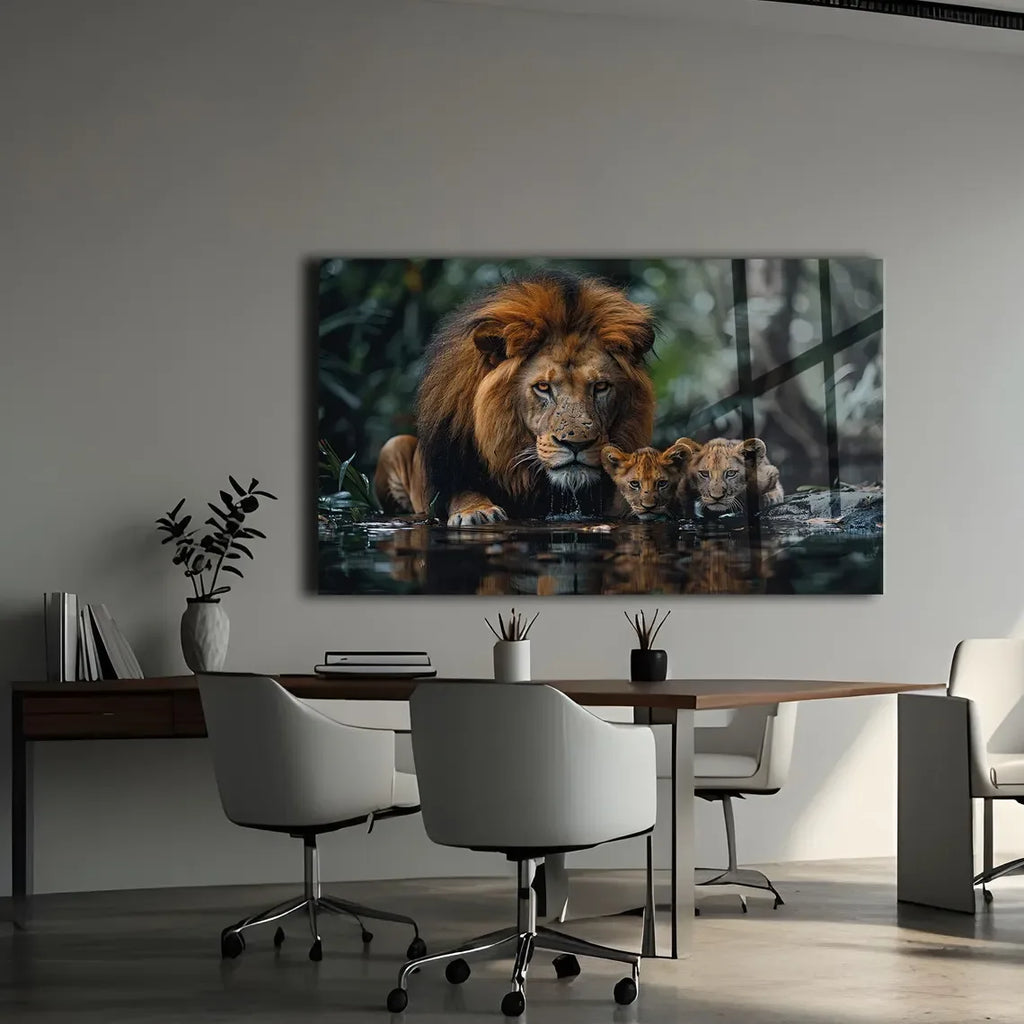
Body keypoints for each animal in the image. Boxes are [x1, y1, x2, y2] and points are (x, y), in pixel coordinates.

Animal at [378, 271, 657, 526]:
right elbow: (463, 492)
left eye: (600, 386)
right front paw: (476, 511)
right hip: (394, 445)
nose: (577, 445)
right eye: (543, 387)